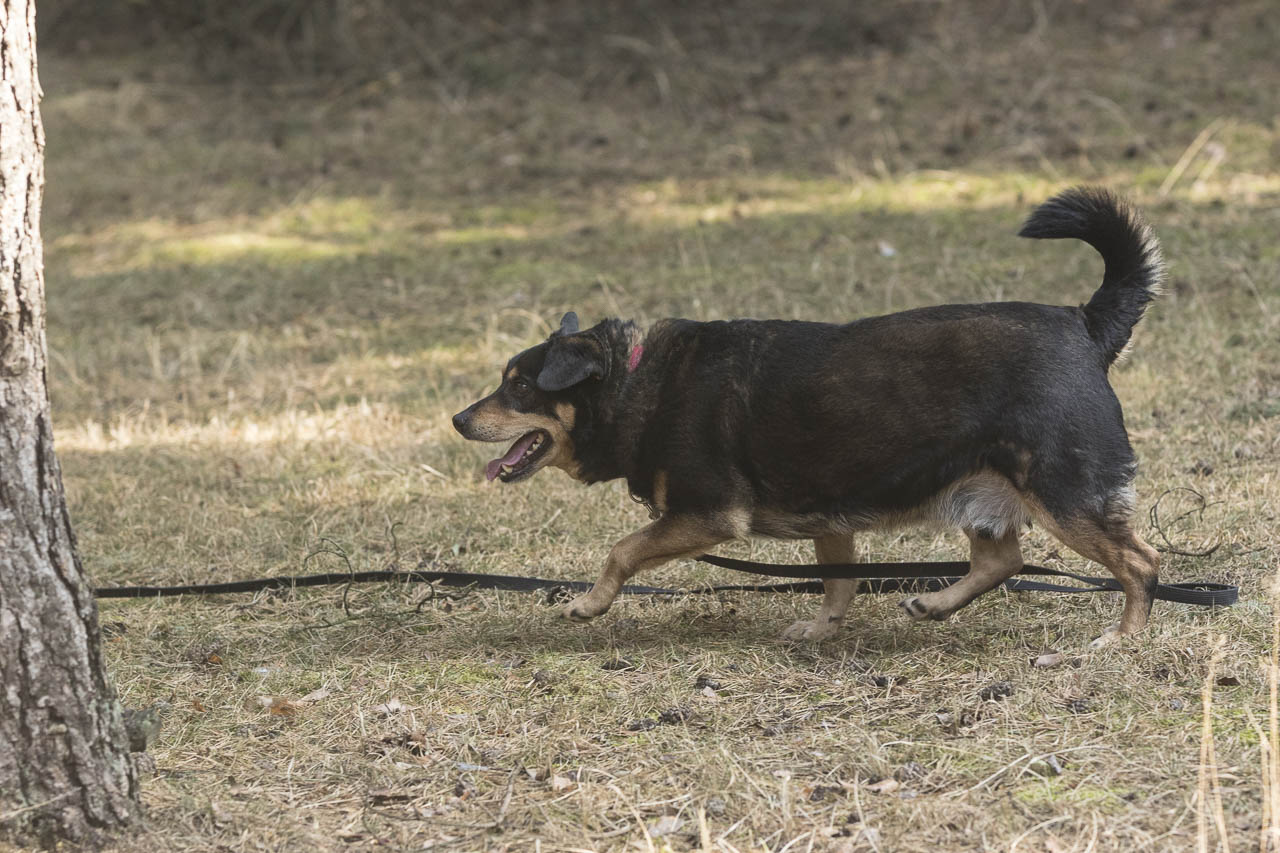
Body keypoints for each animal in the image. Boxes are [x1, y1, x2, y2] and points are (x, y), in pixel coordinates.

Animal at [452, 187, 1164, 646]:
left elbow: (623, 550)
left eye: (519, 386)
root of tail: (1085, 323)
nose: (458, 420)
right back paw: (935, 603)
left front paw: (591, 603)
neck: (634, 385)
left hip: (1065, 492)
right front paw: (824, 629)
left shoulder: (708, 516)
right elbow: (838, 583)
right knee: (1002, 560)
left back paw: (1122, 640)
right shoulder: (828, 513)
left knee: (1141, 563)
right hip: (981, 487)